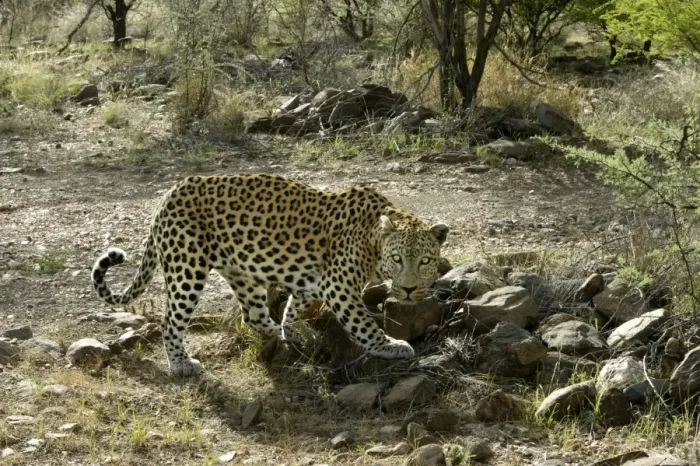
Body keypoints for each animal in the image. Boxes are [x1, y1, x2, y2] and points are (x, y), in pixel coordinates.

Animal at [91, 174, 449, 377]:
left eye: (425, 261)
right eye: (397, 259)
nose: (408, 290)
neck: (373, 238)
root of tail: (165, 199)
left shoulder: (313, 282)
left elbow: (293, 306)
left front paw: (294, 330)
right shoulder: (339, 287)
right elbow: (363, 324)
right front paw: (390, 346)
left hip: (241, 271)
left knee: (253, 314)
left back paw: (282, 336)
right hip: (187, 268)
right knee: (170, 320)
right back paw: (181, 364)